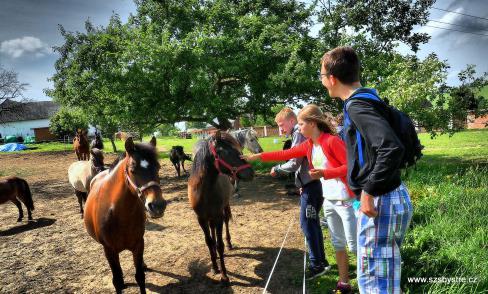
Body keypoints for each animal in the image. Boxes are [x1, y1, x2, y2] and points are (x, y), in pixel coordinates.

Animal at [83, 137, 166, 292]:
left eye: (158, 167)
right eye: (132, 170)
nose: (157, 206)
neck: (118, 215)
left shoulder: (139, 244)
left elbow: (140, 277)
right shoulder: (109, 251)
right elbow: (116, 280)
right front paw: (120, 282)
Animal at [188, 130, 254, 282]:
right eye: (226, 152)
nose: (251, 172)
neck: (203, 191)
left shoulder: (218, 217)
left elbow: (219, 245)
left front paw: (224, 275)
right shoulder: (201, 219)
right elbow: (209, 242)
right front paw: (214, 266)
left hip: (224, 207)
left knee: (226, 221)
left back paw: (229, 243)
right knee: (212, 231)